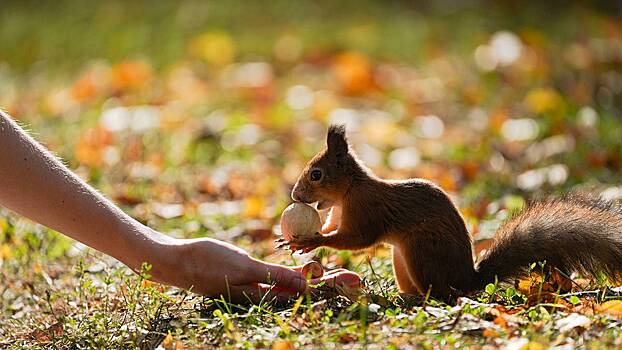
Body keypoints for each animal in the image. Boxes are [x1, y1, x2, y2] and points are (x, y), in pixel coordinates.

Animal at [280, 124, 622, 300]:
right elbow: (335, 230)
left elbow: (359, 239)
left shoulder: (368, 209)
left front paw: (311, 241)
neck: (349, 191)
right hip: (403, 259)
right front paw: (300, 239)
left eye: (316, 174)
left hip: (422, 253)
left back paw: (416, 298)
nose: (295, 195)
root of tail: (466, 279)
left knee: (441, 294)